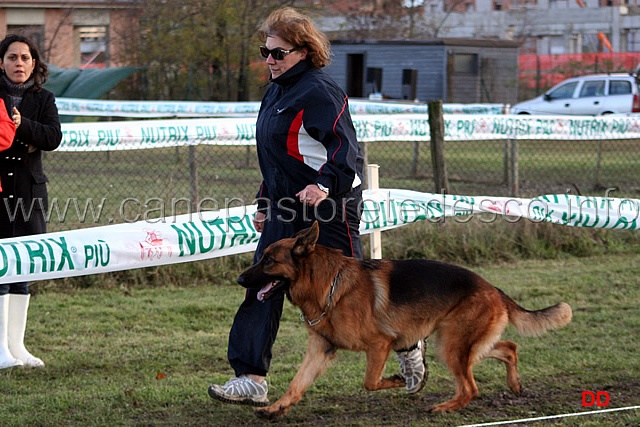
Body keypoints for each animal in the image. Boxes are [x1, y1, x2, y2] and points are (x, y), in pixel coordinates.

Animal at [238, 222, 572, 420]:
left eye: (269, 260)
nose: (240, 279)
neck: (329, 285)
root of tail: (493, 289)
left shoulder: (379, 344)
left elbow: (370, 382)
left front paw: (399, 380)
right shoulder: (321, 349)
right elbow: (297, 383)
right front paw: (276, 408)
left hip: (450, 346)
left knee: (470, 388)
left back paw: (443, 407)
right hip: (462, 343)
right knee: (509, 347)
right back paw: (514, 385)